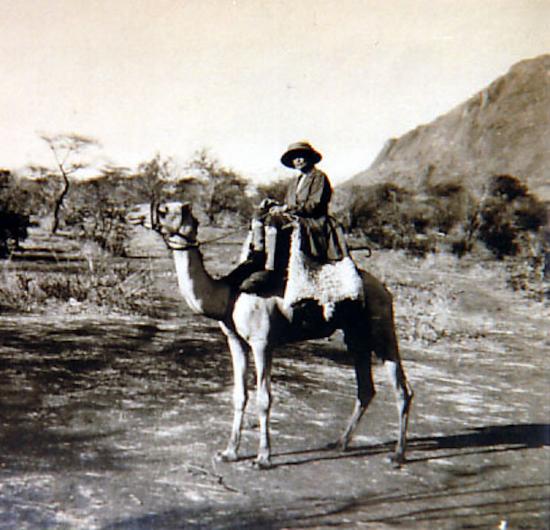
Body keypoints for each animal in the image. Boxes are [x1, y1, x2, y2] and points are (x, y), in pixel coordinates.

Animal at [128, 201, 414, 466]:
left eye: (165, 209)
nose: (133, 212)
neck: (229, 295)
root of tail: (384, 289)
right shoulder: (236, 341)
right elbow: (240, 395)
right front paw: (229, 452)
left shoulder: (262, 342)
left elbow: (264, 398)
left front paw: (263, 457)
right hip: (356, 336)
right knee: (365, 388)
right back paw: (340, 443)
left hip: (381, 328)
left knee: (401, 387)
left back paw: (397, 454)